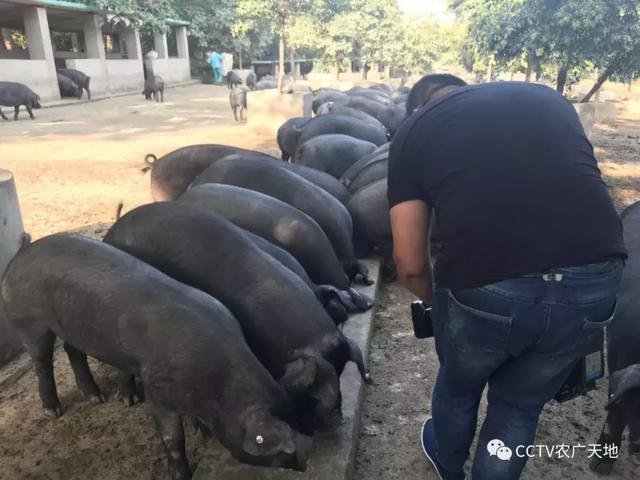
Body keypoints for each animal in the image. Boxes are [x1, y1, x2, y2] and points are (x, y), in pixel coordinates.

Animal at [0, 234, 310, 478]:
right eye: (281, 449)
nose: (304, 464)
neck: (217, 383)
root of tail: (17, 259)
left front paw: (203, 432)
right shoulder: (159, 390)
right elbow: (172, 437)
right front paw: (181, 473)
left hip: (72, 325)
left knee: (72, 351)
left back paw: (96, 397)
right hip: (27, 321)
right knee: (41, 362)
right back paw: (53, 411)